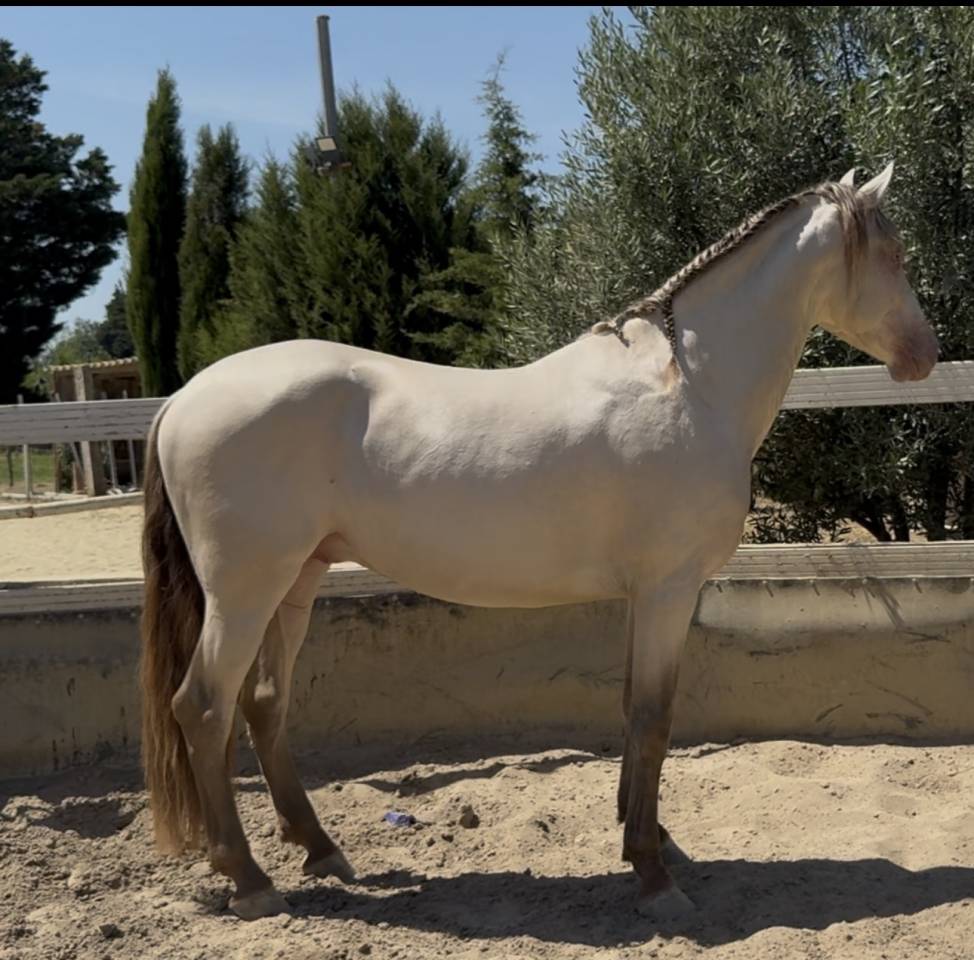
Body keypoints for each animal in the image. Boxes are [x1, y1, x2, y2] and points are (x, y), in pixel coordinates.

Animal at [140, 164, 938, 920]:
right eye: (895, 254)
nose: (925, 354)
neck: (688, 387)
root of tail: (183, 399)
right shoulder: (669, 589)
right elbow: (655, 717)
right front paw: (653, 874)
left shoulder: (642, 595)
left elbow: (630, 708)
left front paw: (649, 837)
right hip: (245, 594)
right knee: (203, 708)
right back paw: (249, 879)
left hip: (297, 583)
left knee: (263, 704)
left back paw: (320, 850)